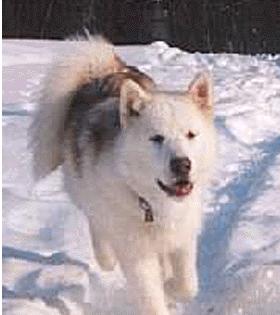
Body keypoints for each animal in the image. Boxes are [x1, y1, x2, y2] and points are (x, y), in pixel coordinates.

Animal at [30, 37, 217, 315]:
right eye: (156, 138)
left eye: (191, 135)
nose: (182, 165)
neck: (152, 202)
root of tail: (105, 73)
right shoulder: (135, 254)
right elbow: (152, 298)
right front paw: (164, 290)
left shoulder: (182, 237)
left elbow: (187, 285)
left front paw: (171, 286)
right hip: (86, 193)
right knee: (97, 226)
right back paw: (106, 257)